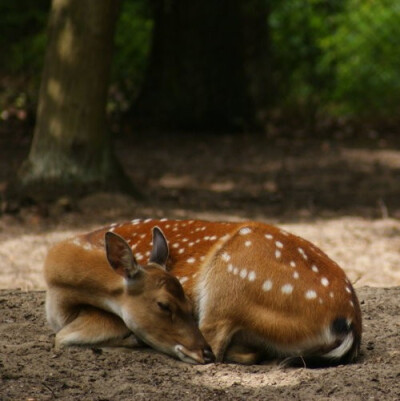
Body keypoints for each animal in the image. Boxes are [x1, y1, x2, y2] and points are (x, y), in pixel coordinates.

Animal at [45, 219, 360, 366]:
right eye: (165, 305)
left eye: (181, 299)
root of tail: (350, 321)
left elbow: (63, 338)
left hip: (229, 282)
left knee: (215, 345)